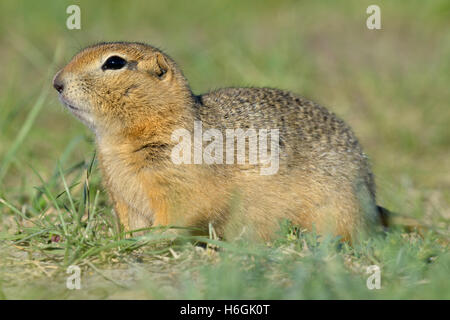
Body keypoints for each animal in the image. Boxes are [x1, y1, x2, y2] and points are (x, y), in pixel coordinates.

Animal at [52, 42, 386, 242]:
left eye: (114, 62)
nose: (56, 82)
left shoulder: (178, 182)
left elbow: (177, 215)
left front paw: (152, 240)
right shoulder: (121, 195)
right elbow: (131, 221)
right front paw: (123, 240)